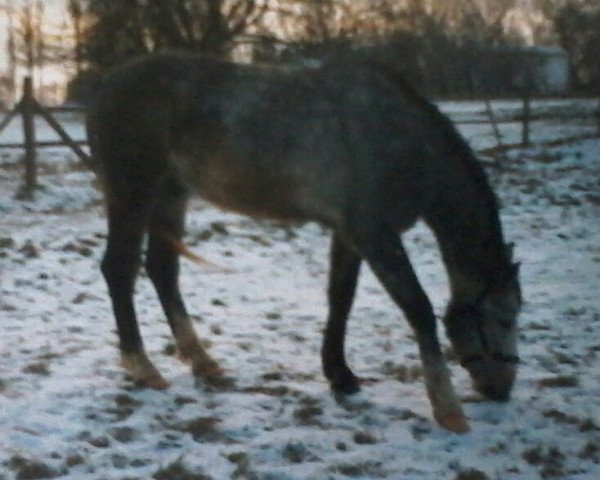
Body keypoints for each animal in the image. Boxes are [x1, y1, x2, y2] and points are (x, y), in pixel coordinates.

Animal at [85, 50, 520, 434]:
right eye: (503, 316)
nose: (501, 390)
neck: (401, 140)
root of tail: (106, 86)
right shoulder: (375, 235)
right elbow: (418, 308)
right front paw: (448, 410)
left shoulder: (349, 234)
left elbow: (340, 299)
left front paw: (340, 375)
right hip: (133, 195)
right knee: (119, 269)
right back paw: (142, 367)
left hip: (172, 195)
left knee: (162, 269)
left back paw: (201, 359)